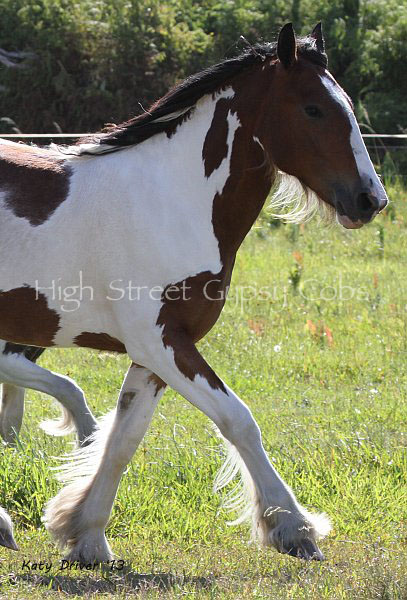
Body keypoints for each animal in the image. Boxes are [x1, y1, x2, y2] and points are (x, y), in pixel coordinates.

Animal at [0, 25, 388, 564]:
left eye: (348, 107)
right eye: (313, 109)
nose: (371, 200)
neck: (170, 202)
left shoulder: (154, 353)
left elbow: (122, 440)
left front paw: (87, 538)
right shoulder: (161, 342)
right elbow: (239, 420)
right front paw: (293, 528)